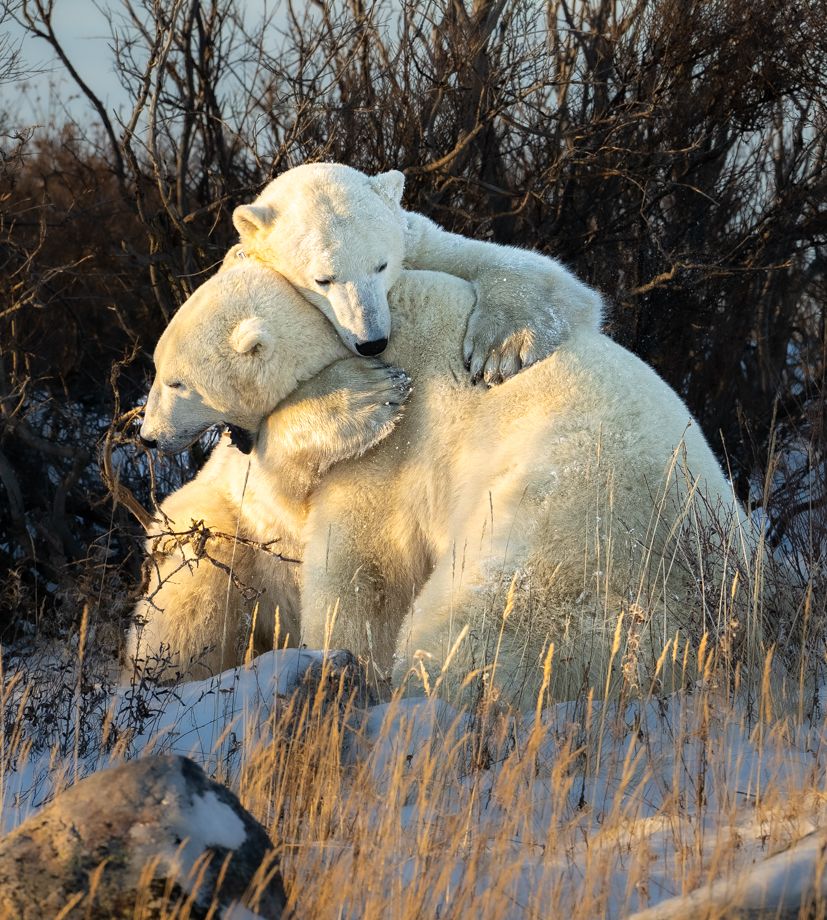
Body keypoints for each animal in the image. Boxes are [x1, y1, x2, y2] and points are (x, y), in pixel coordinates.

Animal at [137, 260, 764, 704]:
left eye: (176, 380)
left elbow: (363, 567)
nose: (145, 436)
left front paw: (345, 655)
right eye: (158, 369)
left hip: (571, 549)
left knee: (474, 634)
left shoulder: (396, 452)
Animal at [230, 162, 603, 385]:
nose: (372, 343)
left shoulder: (418, 244)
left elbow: (534, 273)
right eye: (323, 280)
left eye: (381, 266)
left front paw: (499, 349)